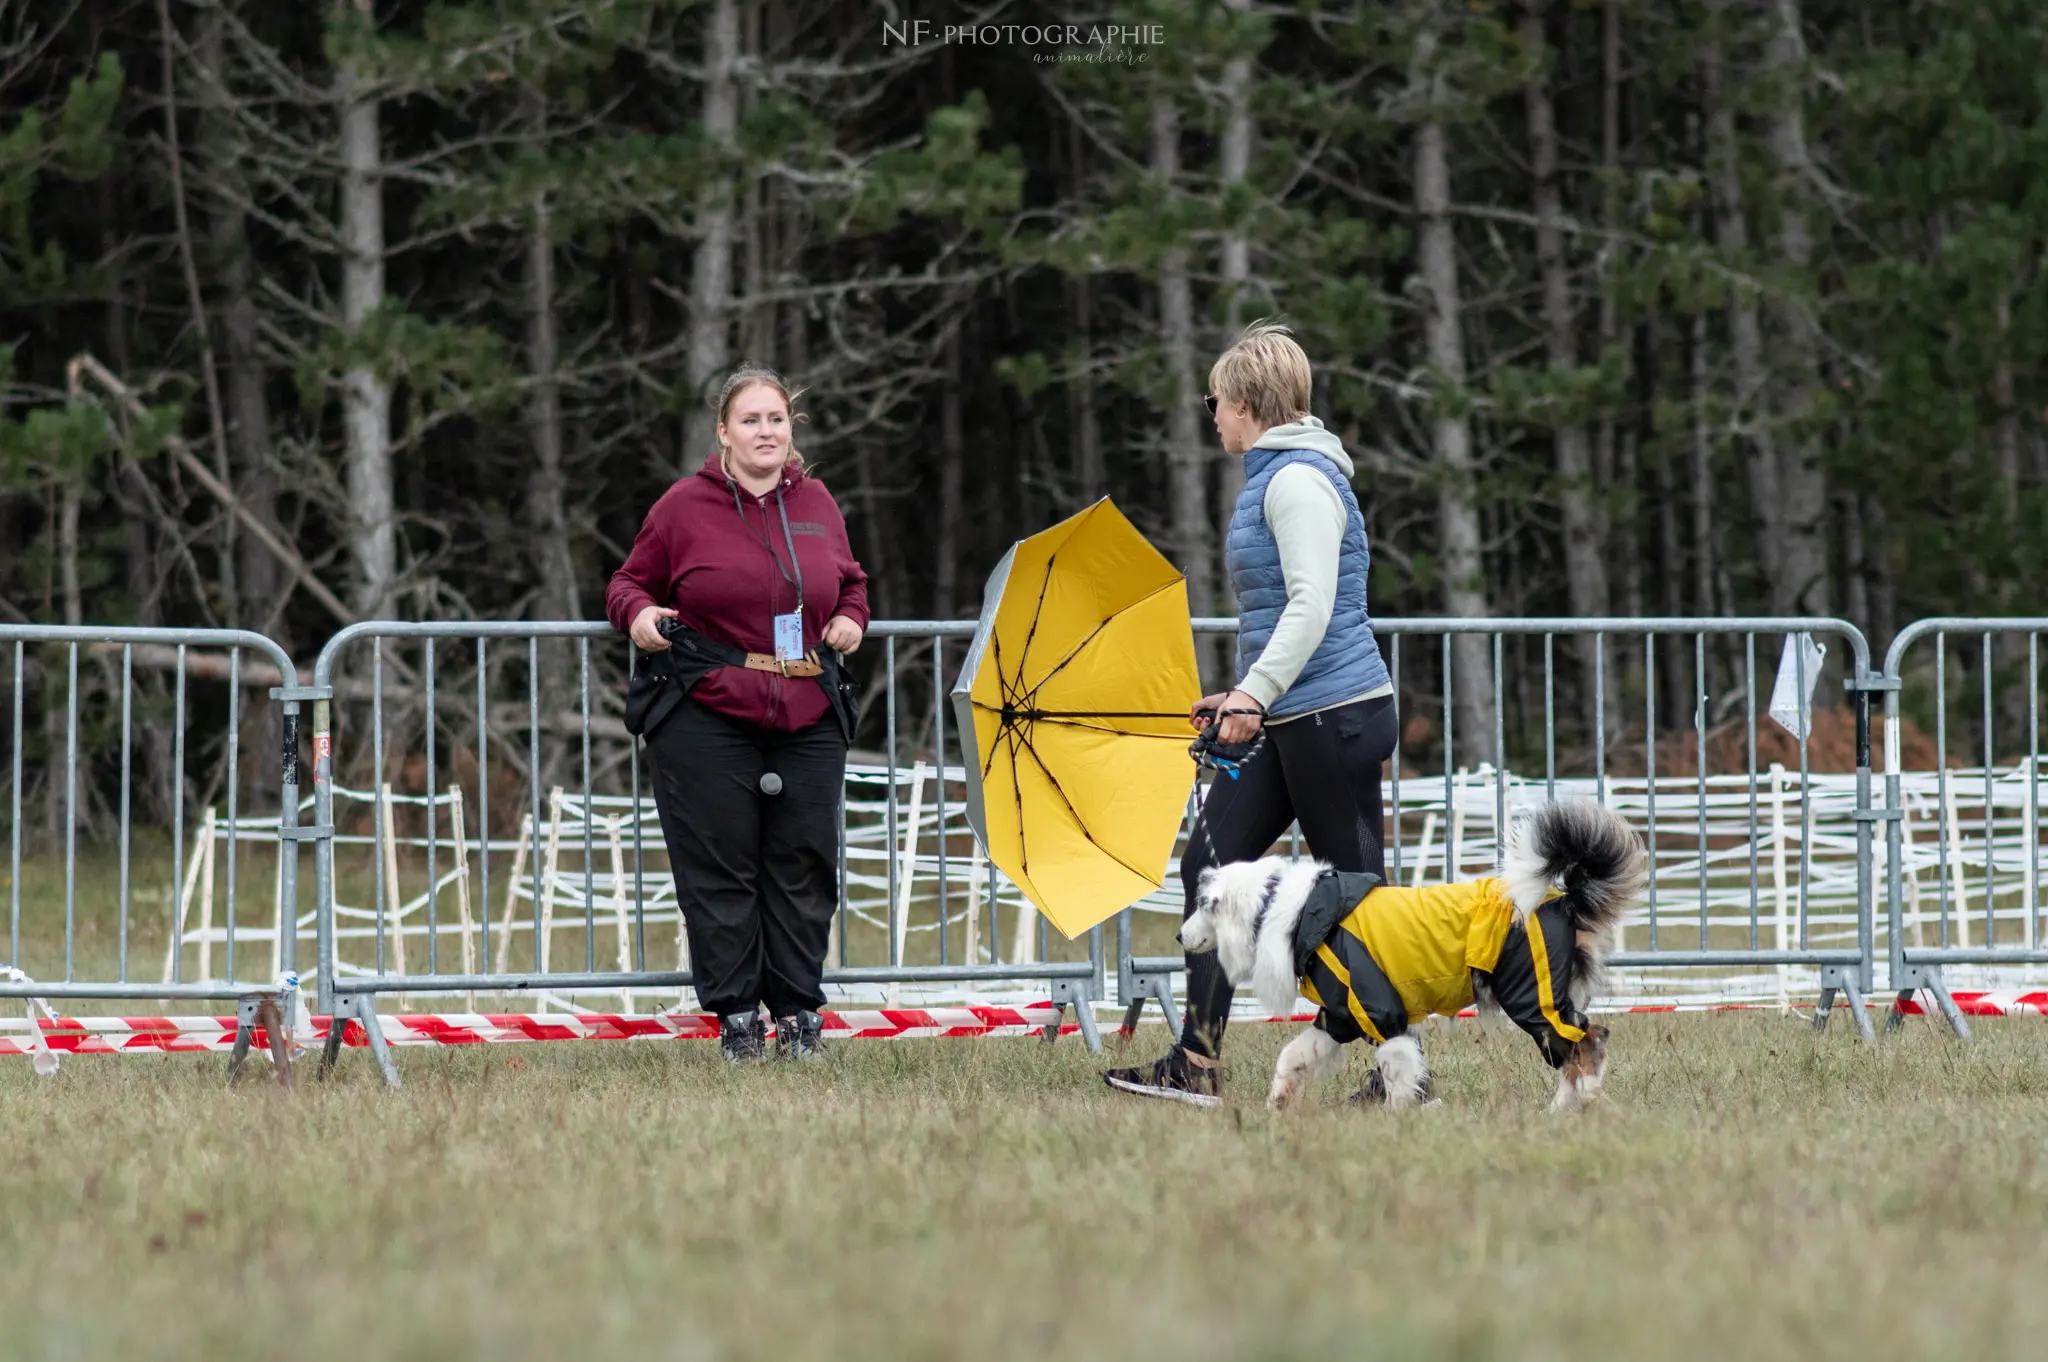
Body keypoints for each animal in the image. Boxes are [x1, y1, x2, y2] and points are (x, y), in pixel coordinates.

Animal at [1187, 802, 1646, 1114]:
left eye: (1201, 905)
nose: (1179, 934)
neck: (1292, 911)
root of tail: (1563, 901)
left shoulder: (1382, 1014)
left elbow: (1399, 1072)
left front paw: (1399, 1118)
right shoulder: (1337, 1018)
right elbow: (1294, 1057)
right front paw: (1277, 1103)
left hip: (1531, 995)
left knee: (1583, 1044)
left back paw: (1568, 1105)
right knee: (1590, 1039)